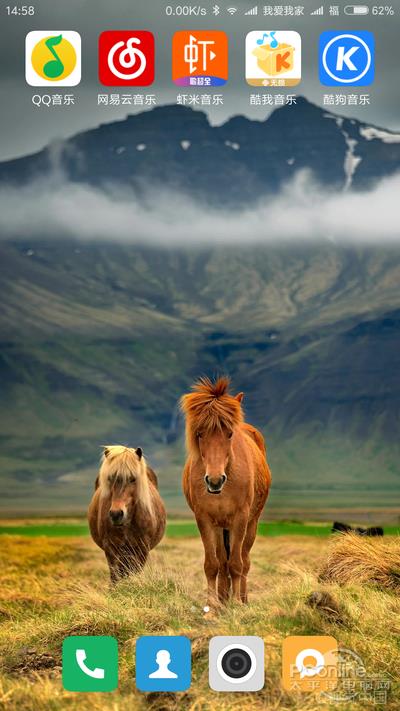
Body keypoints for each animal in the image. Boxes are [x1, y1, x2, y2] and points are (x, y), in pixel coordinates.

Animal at [88, 448, 166, 580]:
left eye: (133, 479)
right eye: (110, 478)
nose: (116, 514)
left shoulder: (141, 549)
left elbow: (134, 571)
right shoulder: (111, 548)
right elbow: (115, 576)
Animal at [181, 382, 272, 608]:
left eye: (229, 434)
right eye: (199, 433)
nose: (215, 481)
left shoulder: (240, 518)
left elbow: (237, 564)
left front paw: (237, 603)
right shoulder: (204, 519)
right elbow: (213, 564)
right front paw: (212, 605)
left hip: (251, 523)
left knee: (244, 560)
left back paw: (242, 599)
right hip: (220, 527)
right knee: (222, 561)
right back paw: (223, 599)